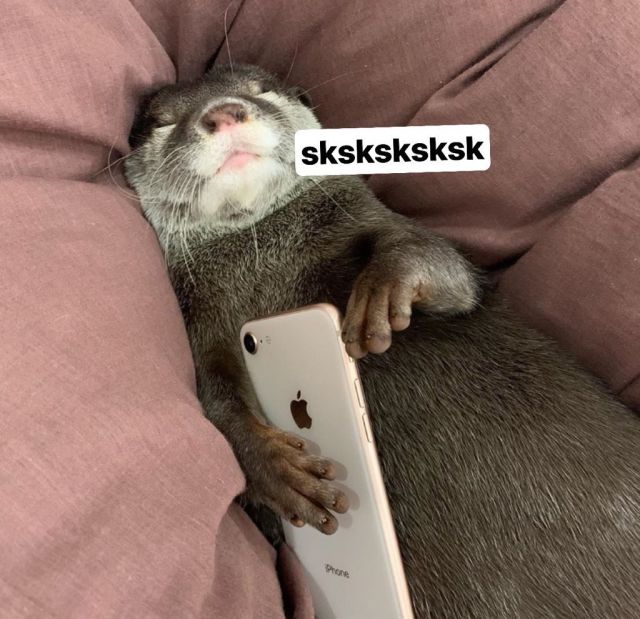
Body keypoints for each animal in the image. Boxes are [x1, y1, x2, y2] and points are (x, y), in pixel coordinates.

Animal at [124, 64, 640, 618]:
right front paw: (278, 468)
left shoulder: (383, 229)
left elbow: (441, 267)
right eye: (163, 122)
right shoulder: (200, 322)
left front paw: (383, 288)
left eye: (258, 90)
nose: (222, 112)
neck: (263, 260)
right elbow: (216, 402)